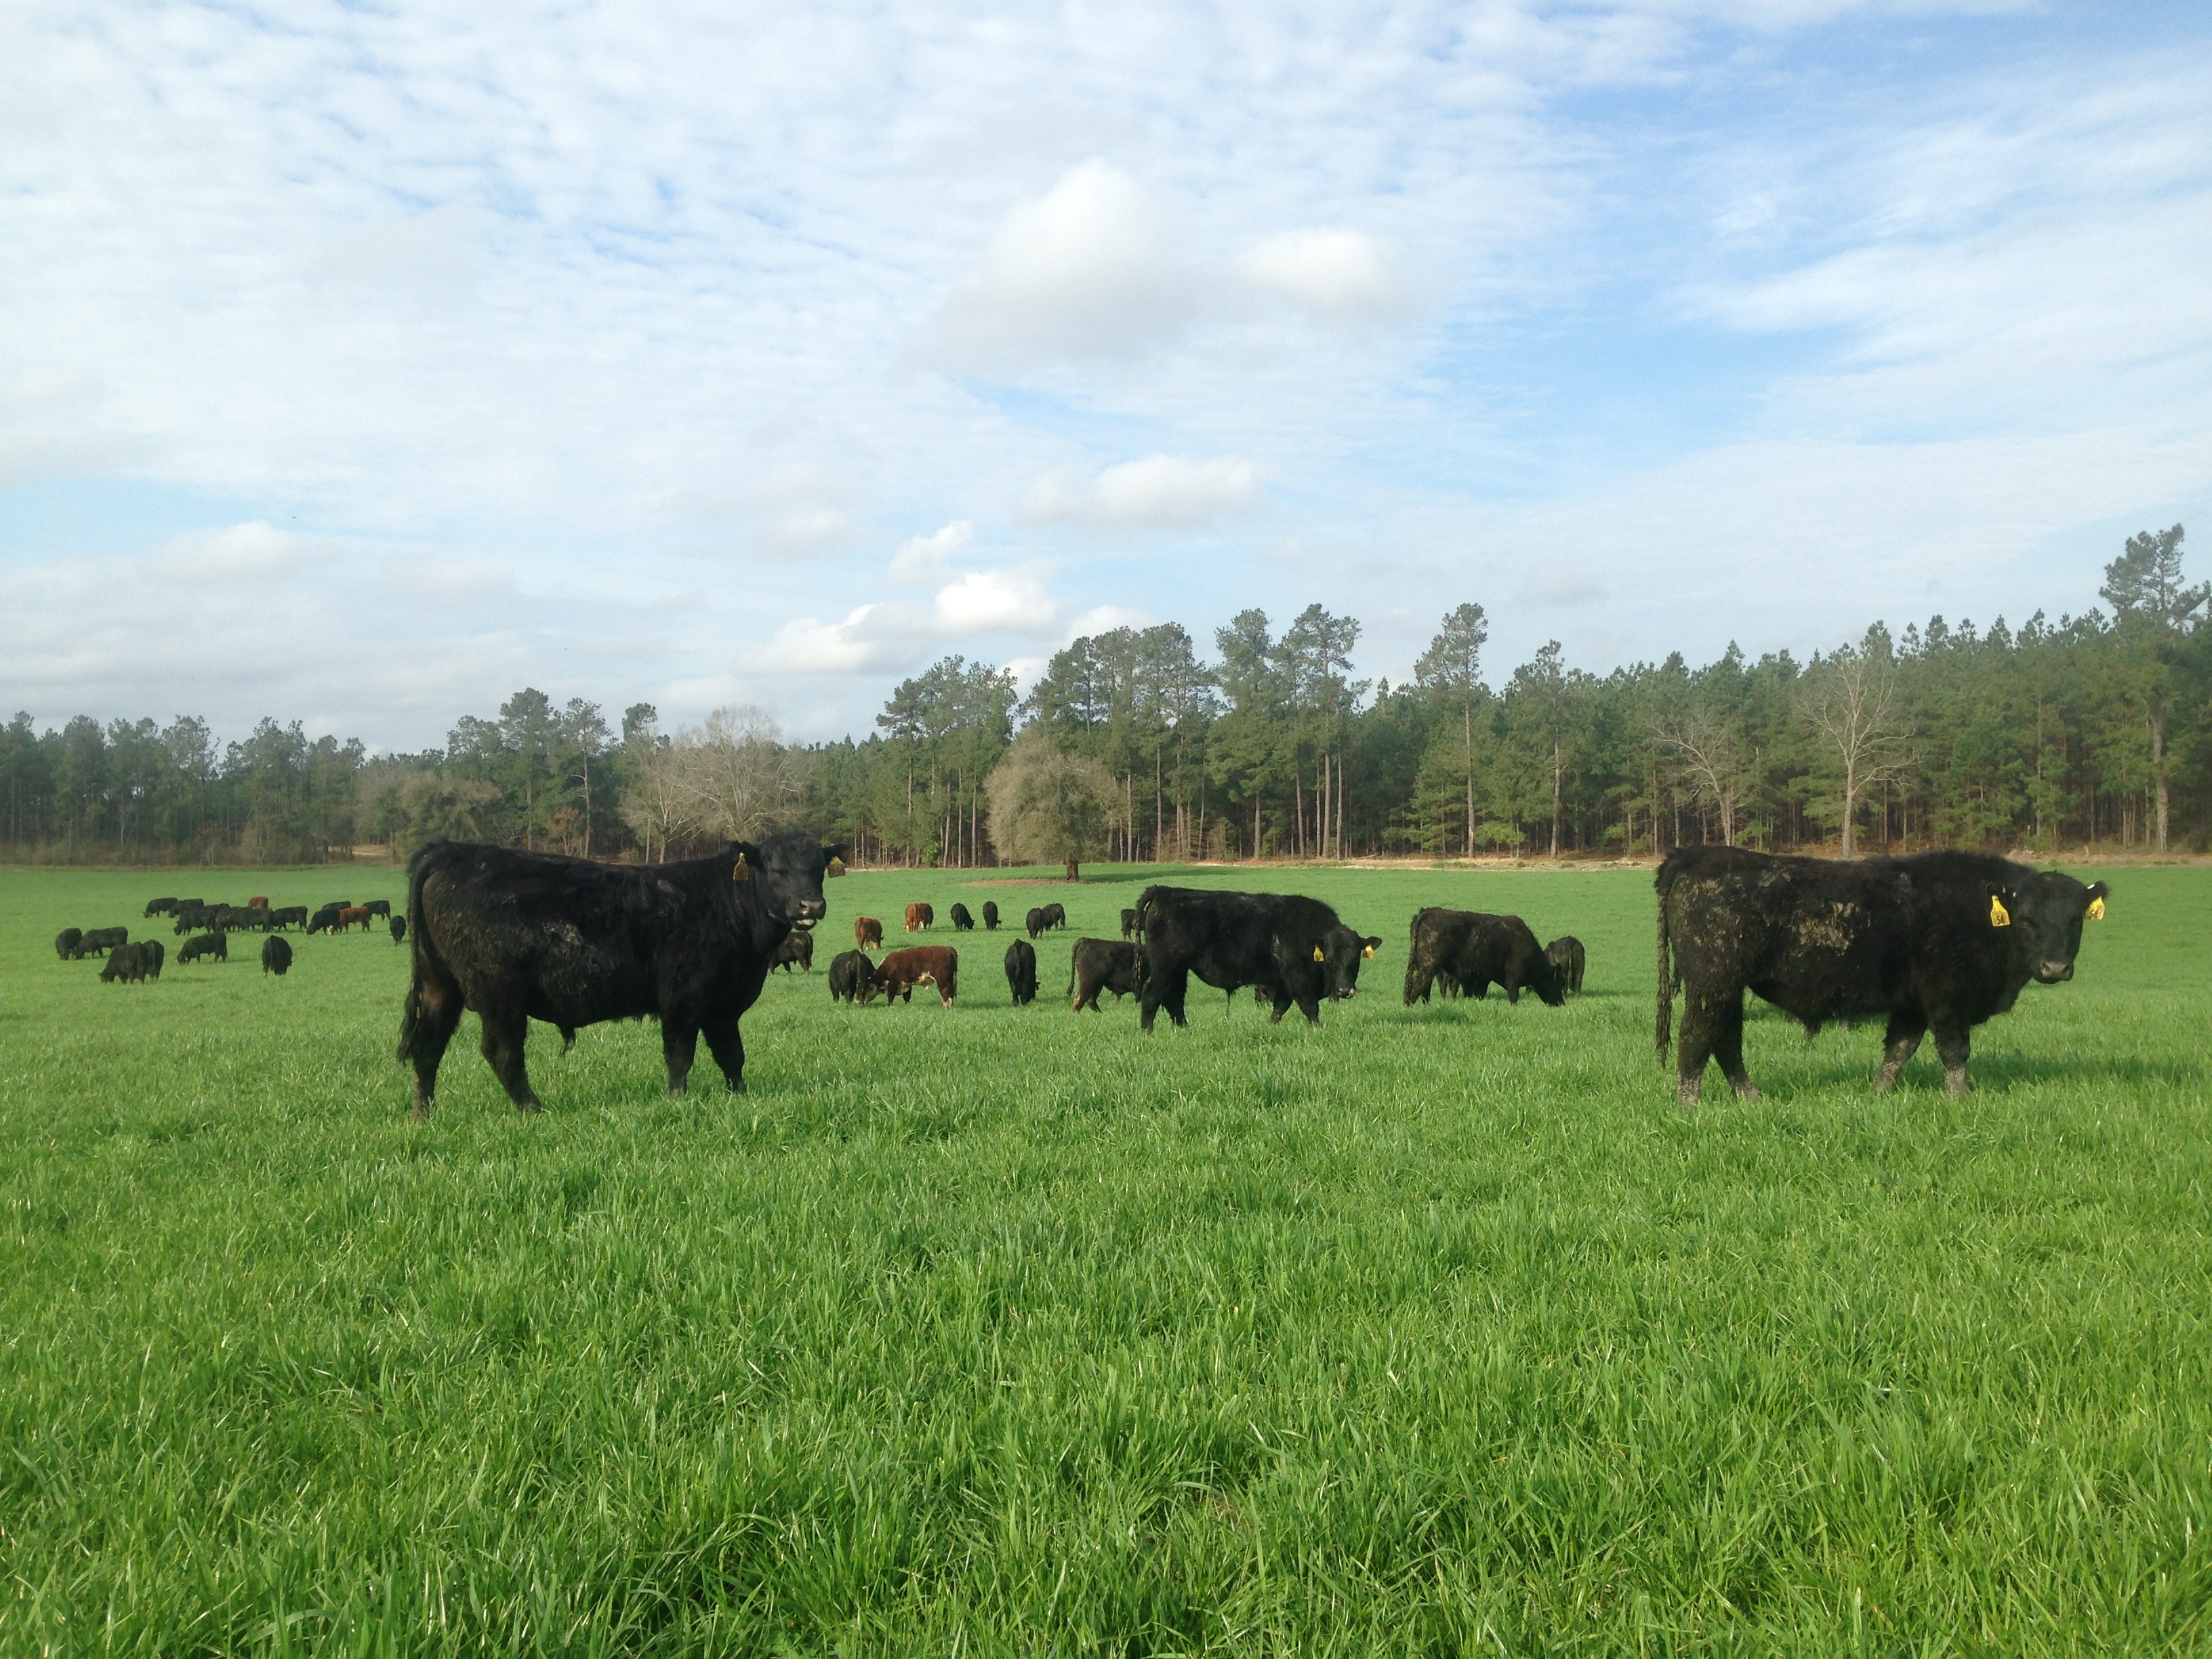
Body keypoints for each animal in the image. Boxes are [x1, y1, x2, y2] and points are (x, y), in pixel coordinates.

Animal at [398, 829, 842, 1116]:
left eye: (818, 868)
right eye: (777, 870)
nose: (811, 905)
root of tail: (450, 852)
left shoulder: (723, 1006)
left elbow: (732, 1056)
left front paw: (741, 1098)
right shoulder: (682, 996)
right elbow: (680, 1054)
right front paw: (677, 1103)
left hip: (440, 986)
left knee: (428, 1047)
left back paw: (423, 1115)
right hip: (499, 995)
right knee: (501, 1052)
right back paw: (534, 1110)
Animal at [1134, 887, 1378, 1030]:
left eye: (1356, 958)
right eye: (1329, 958)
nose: (1344, 990)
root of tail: (1165, 891)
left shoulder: (1283, 984)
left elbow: (1279, 1008)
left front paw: (1271, 1027)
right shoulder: (1299, 981)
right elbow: (1310, 1008)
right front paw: (1317, 1030)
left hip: (1178, 970)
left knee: (1174, 998)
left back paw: (1185, 1028)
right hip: (1167, 967)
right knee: (1153, 995)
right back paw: (1147, 1031)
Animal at [1404, 910, 1563, 1008]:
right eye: (1558, 983)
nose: (1561, 1003)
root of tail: (1430, 912)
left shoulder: (1482, 978)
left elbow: (1480, 994)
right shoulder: (1513, 976)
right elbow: (1513, 996)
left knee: (1424, 987)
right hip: (1429, 966)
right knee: (1418, 984)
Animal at [1657, 846, 2108, 1104]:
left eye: (2075, 920)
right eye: (2028, 920)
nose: (2055, 968)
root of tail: (1698, 855)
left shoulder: (1912, 1005)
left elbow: (1899, 1050)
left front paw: (1878, 1096)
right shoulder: (1947, 998)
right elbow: (1955, 1052)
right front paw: (1961, 1099)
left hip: (1727, 989)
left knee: (1726, 1042)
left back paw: (1752, 1098)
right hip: (1712, 985)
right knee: (1696, 1039)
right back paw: (1689, 1105)